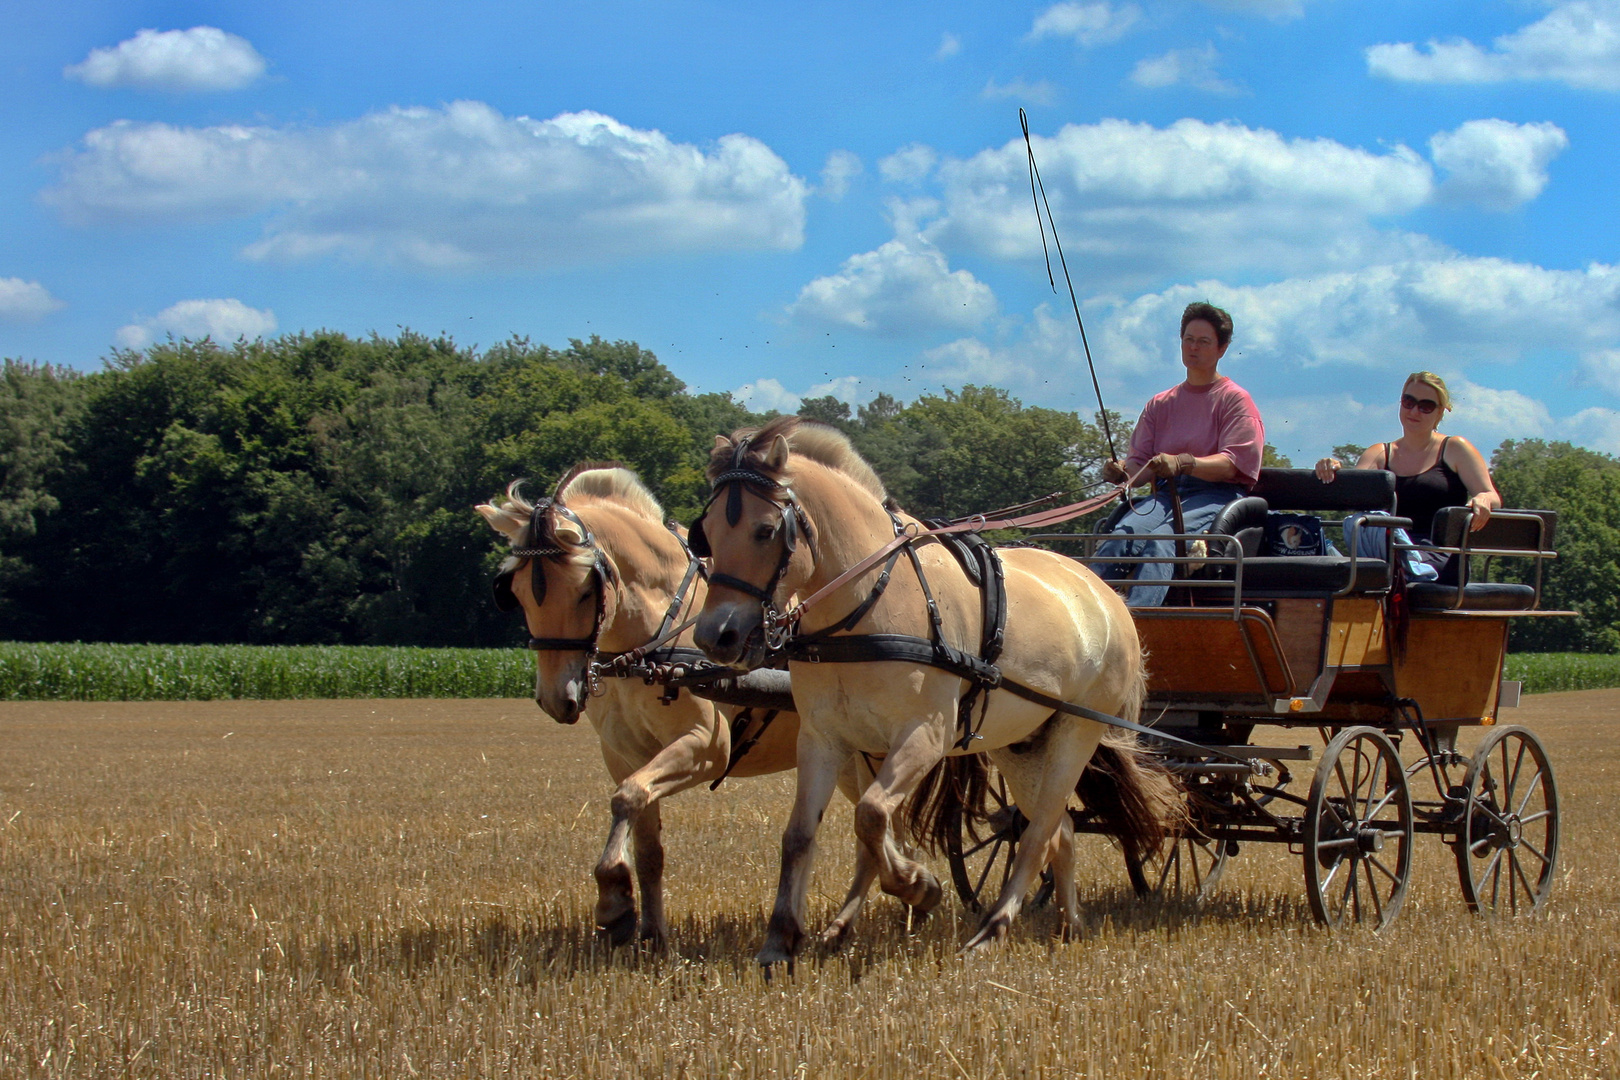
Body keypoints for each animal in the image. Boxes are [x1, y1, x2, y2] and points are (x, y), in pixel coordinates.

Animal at [686, 417, 1179, 958]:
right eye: (706, 534)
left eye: (766, 530)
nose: (715, 636)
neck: (866, 606)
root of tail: (1108, 596)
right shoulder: (822, 738)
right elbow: (800, 835)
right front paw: (780, 939)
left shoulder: (925, 735)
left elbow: (871, 815)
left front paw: (916, 886)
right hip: (1020, 744)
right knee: (1060, 832)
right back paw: (1070, 924)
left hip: (1076, 732)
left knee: (1038, 833)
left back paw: (993, 928)